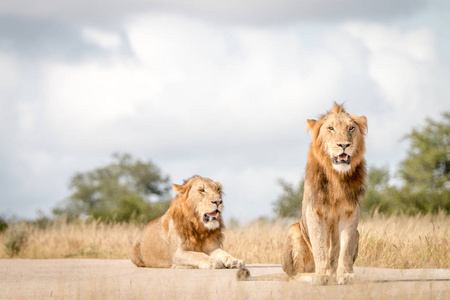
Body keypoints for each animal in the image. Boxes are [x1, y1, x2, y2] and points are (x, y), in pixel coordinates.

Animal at [284, 102, 368, 284]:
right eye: (331, 128)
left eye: (351, 128)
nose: (344, 145)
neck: (336, 175)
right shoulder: (314, 210)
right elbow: (320, 246)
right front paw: (322, 275)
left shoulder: (350, 211)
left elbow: (345, 248)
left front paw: (345, 275)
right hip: (294, 230)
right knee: (295, 275)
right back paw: (313, 276)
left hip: (358, 233)